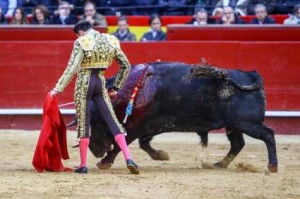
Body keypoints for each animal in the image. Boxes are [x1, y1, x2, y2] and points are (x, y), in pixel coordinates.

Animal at [88, 61, 278, 173]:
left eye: (93, 126)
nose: (95, 152)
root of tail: (251, 75)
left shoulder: (138, 126)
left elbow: (123, 143)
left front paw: (104, 162)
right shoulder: (152, 126)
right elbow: (143, 143)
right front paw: (161, 155)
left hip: (247, 123)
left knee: (268, 134)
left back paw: (272, 166)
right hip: (234, 125)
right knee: (238, 144)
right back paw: (220, 164)